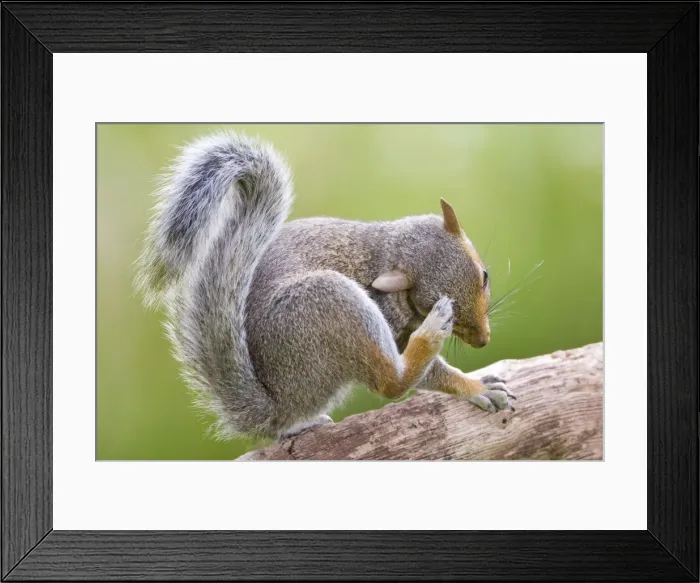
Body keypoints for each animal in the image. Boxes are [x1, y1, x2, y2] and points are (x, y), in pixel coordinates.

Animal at [136, 132, 515, 442]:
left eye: (484, 276)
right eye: (430, 299)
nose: (483, 341)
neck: (388, 254)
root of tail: (280, 404)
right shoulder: (392, 323)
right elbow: (423, 376)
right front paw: (476, 387)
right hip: (331, 303)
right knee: (392, 382)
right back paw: (431, 335)